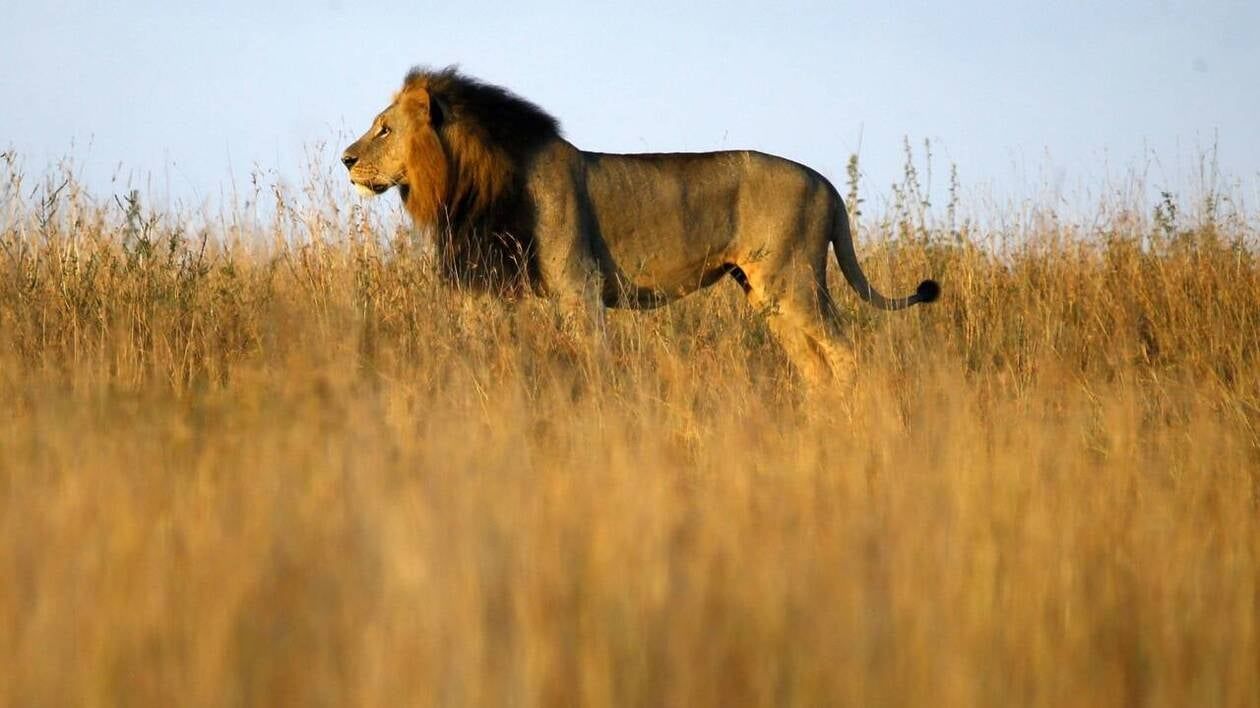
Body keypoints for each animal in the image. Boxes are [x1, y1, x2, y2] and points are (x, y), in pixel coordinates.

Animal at [340, 67, 942, 380]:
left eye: (385, 129)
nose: (345, 160)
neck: (469, 180)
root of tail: (827, 183)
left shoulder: (578, 285)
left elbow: (594, 356)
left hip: (794, 282)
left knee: (847, 355)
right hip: (766, 293)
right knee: (815, 366)